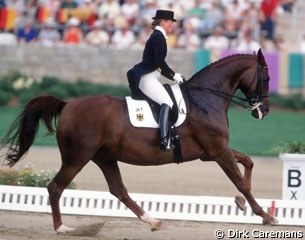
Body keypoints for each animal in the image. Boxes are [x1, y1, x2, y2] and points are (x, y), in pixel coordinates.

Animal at [0, 49, 276, 233]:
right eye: (265, 78)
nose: (263, 112)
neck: (204, 100)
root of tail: (68, 105)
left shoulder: (210, 152)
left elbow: (248, 162)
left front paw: (242, 204)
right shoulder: (217, 150)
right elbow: (240, 181)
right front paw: (264, 215)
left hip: (104, 158)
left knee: (119, 190)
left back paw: (152, 221)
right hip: (77, 157)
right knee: (56, 187)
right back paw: (61, 228)